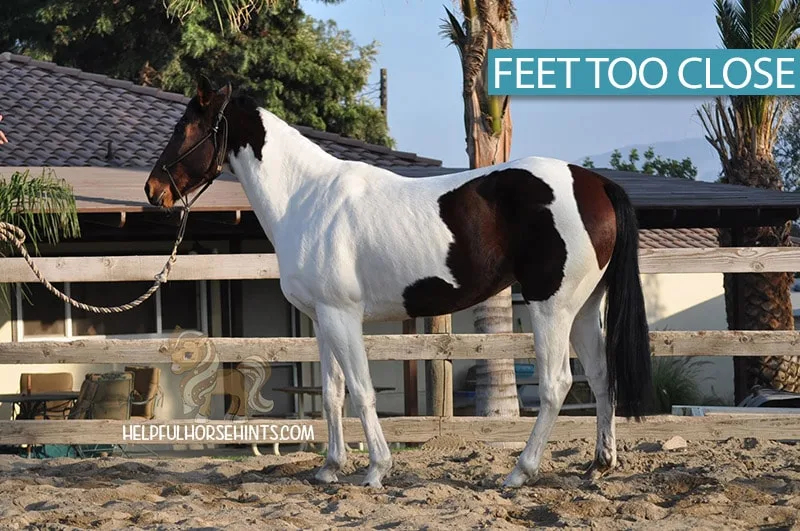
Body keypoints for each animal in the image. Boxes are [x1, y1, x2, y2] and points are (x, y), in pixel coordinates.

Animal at [144, 77, 648, 488]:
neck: (305, 197)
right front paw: (329, 468)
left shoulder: (343, 316)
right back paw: (599, 465)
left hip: (550, 308)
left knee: (556, 384)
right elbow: (332, 394)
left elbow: (362, 391)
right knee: (600, 376)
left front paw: (376, 469)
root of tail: (596, 184)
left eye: (185, 128)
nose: (153, 190)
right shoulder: (321, 320)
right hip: (583, 309)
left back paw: (520, 472)